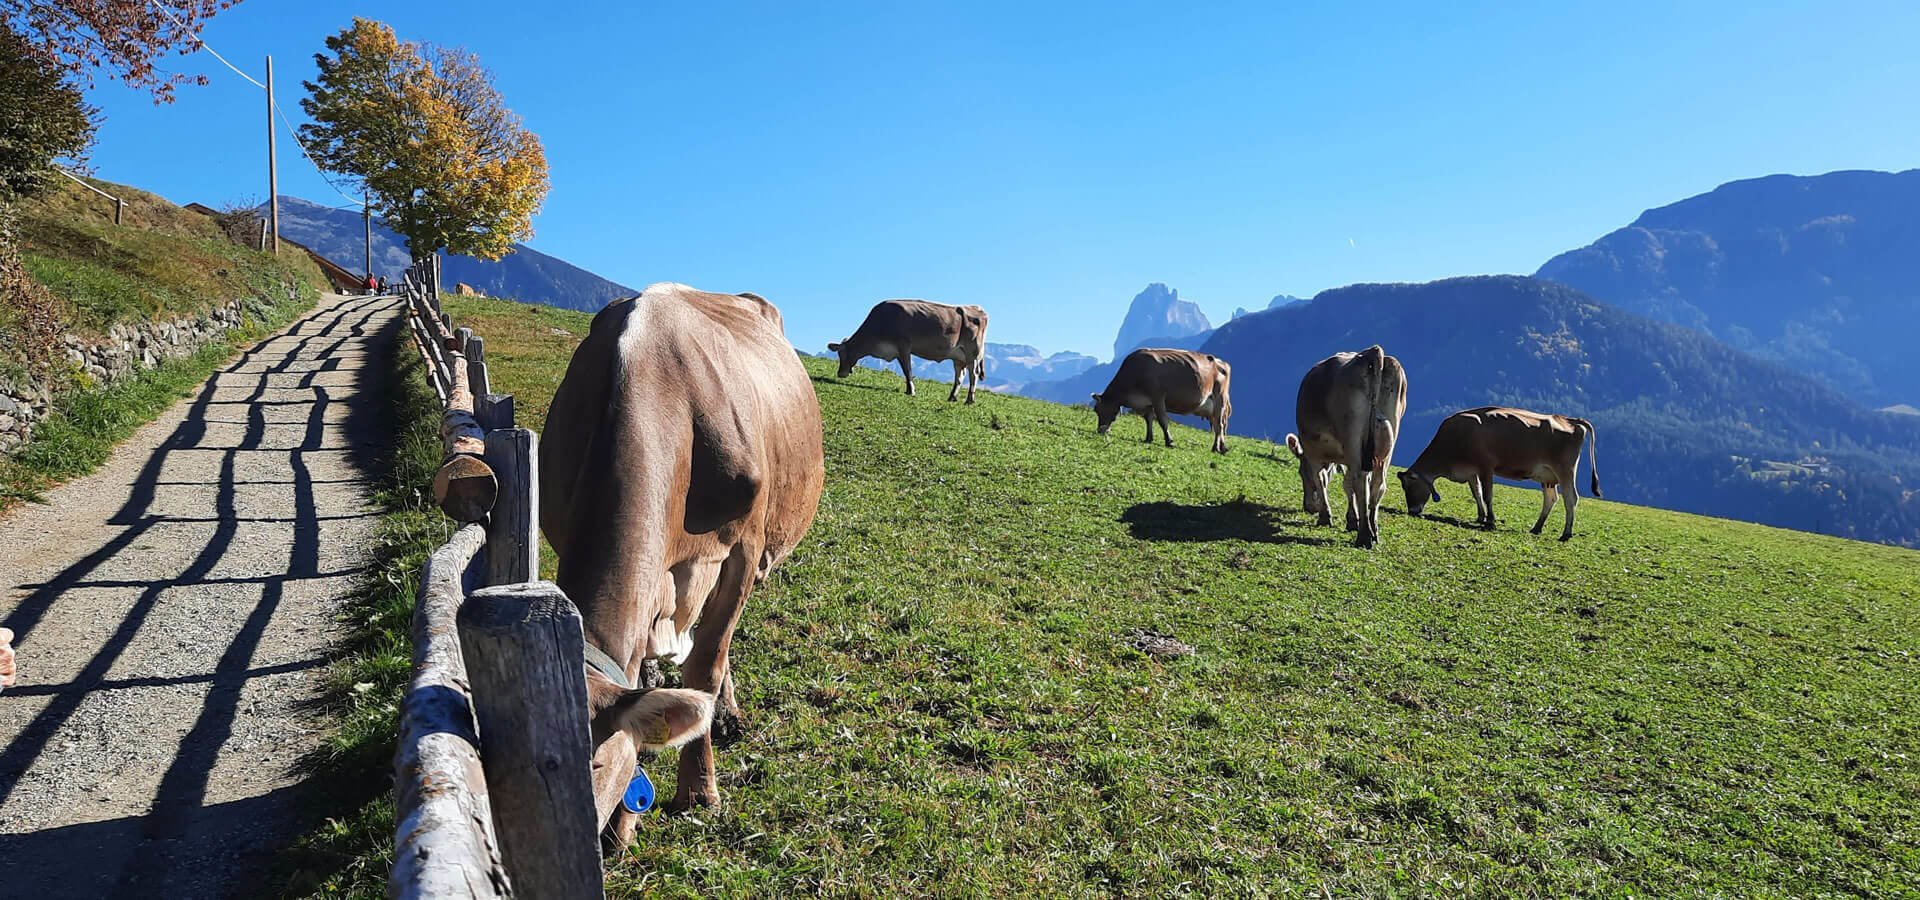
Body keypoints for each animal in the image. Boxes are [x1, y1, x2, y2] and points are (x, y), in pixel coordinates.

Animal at [541, 282, 825, 836]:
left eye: (594, 765)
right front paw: (625, 822)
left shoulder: (742, 553)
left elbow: (705, 668)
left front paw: (699, 789)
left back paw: (727, 715)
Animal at [825, 299, 990, 401]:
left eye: (842, 354)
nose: (840, 373)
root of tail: (977, 308)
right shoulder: (898, 351)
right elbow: (906, 370)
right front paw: (908, 389)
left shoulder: (904, 346)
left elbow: (907, 370)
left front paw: (911, 391)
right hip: (958, 356)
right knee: (959, 375)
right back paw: (952, 397)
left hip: (973, 352)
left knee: (973, 374)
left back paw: (969, 399)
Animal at [1090, 347, 1236, 452]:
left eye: (1098, 409)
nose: (1100, 430)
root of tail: (1221, 362)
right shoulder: (1147, 403)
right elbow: (1148, 420)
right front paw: (1148, 438)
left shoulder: (1158, 397)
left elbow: (1162, 421)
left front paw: (1169, 441)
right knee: (1218, 426)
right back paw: (1221, 447)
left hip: (1220, 400)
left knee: (1220, 426)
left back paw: (1216, 448)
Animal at [1290, 347, 1413, 548]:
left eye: (1301, 473)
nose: (1307, 507)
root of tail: (1373, 351)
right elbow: (1347, 485)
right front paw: (1352, 520)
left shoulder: (1314, 454)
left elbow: (1321, 479)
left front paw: (1325, 517)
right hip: (1389, 439)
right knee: (1377, 483)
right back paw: (1373, 530)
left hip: (1354, 439)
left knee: (1360, 481)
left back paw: (1364, 536)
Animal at [1405, 406, 1597, 541]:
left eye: (1410, 487)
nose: (1412, 511)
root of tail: (1571, 420)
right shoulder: (1471, 472)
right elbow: (1476, 494)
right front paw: (1481, 517)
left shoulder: (1486, 467)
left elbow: (1487, 495)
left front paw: (1490, 521)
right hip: (1547, 476)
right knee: (1551, 499)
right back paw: (1536, 528)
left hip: (1565, 470)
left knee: (1571, 498)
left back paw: (1566, 534)